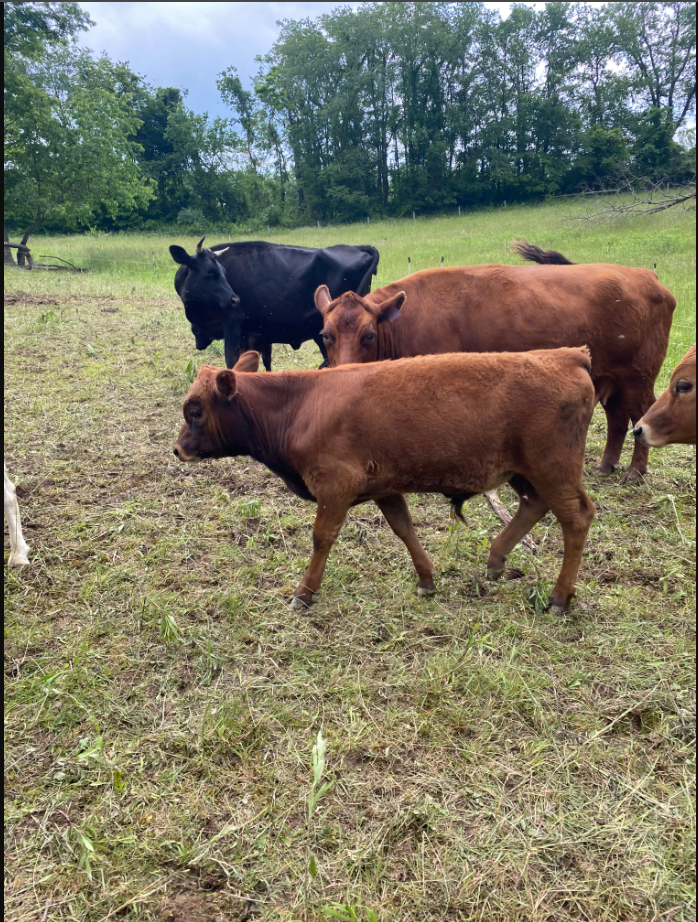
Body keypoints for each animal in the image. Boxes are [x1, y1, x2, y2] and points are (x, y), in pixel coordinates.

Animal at [169, 237, 379, 371]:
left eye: (220, 271)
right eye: (210, 271)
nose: (234, 300)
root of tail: (359, 247)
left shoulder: (233, 323)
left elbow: (232, 361)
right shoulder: (256, 334)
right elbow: (262, 362)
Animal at [173, 348, 596, 613]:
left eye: (195, 411)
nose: (178, 450)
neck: (299, 404)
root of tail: (565, 355)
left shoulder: (335, 486)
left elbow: (322, 538)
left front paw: (304, 592)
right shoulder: (385, 489)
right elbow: (404, 529)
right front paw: (426, 578)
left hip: (552, 470)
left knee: (576, 518)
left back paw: (560, 597)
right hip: (526, 474)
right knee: (533, 506)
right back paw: (495, 560)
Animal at [313, 242, 676, 481]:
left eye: (368, 335)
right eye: (325, 335)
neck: (405, 322)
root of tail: (647, 278)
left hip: (637, 378)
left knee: (639, 415)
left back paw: (635, 471)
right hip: (611, 378)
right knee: (617, 418)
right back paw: (606, 465)